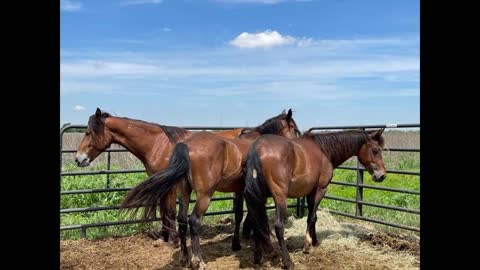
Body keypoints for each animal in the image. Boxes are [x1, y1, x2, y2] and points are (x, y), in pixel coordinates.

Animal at [73, 107, 249, 247]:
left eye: (89, 132)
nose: (78, 159)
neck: (158, 145)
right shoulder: (162, 184)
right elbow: (163, 210)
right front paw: (165, 236)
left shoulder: (171, 186)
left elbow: (169, 211)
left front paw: (173, 240)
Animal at [120, 108, 300, 268]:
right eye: (295, 129)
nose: (296, 146)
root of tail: (186, 145)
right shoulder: (247, 191)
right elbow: (247, 215)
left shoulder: (240, 190)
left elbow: (240, 214)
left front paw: (239, 243)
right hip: (205, 195)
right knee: (194, 221)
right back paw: (197, 261)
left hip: (184, 192)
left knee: (182, 220)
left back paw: (184, 258)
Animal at [244, 128, 386, 268]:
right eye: (376, 149)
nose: (382, 175)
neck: (324, 150)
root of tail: (257, 148)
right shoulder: (320, 190)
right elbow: (311, 217)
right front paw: (307, 246)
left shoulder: (310, 192)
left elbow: (314, 216)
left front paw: (315, 240)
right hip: (280, 198)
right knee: (278, 226)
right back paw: (288, 262)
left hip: (259, 198)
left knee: (256, 223)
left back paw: (258, 257)